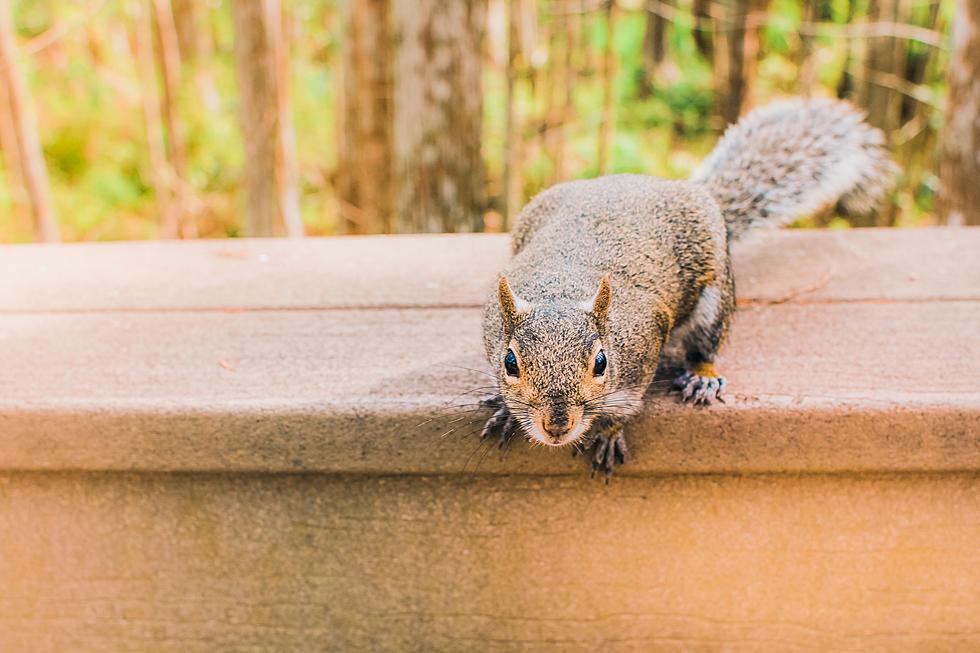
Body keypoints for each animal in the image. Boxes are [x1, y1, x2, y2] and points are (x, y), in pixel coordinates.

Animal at [480, 97, 896, 476]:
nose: (557, 426)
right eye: (510, 363)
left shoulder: (642, 351)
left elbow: (627, 405)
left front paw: (610, 432)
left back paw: (702, 376)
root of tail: (679, 187)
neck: (562, 290)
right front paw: (506, 409)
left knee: (706, 343)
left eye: (601, 363)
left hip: (715, 296)